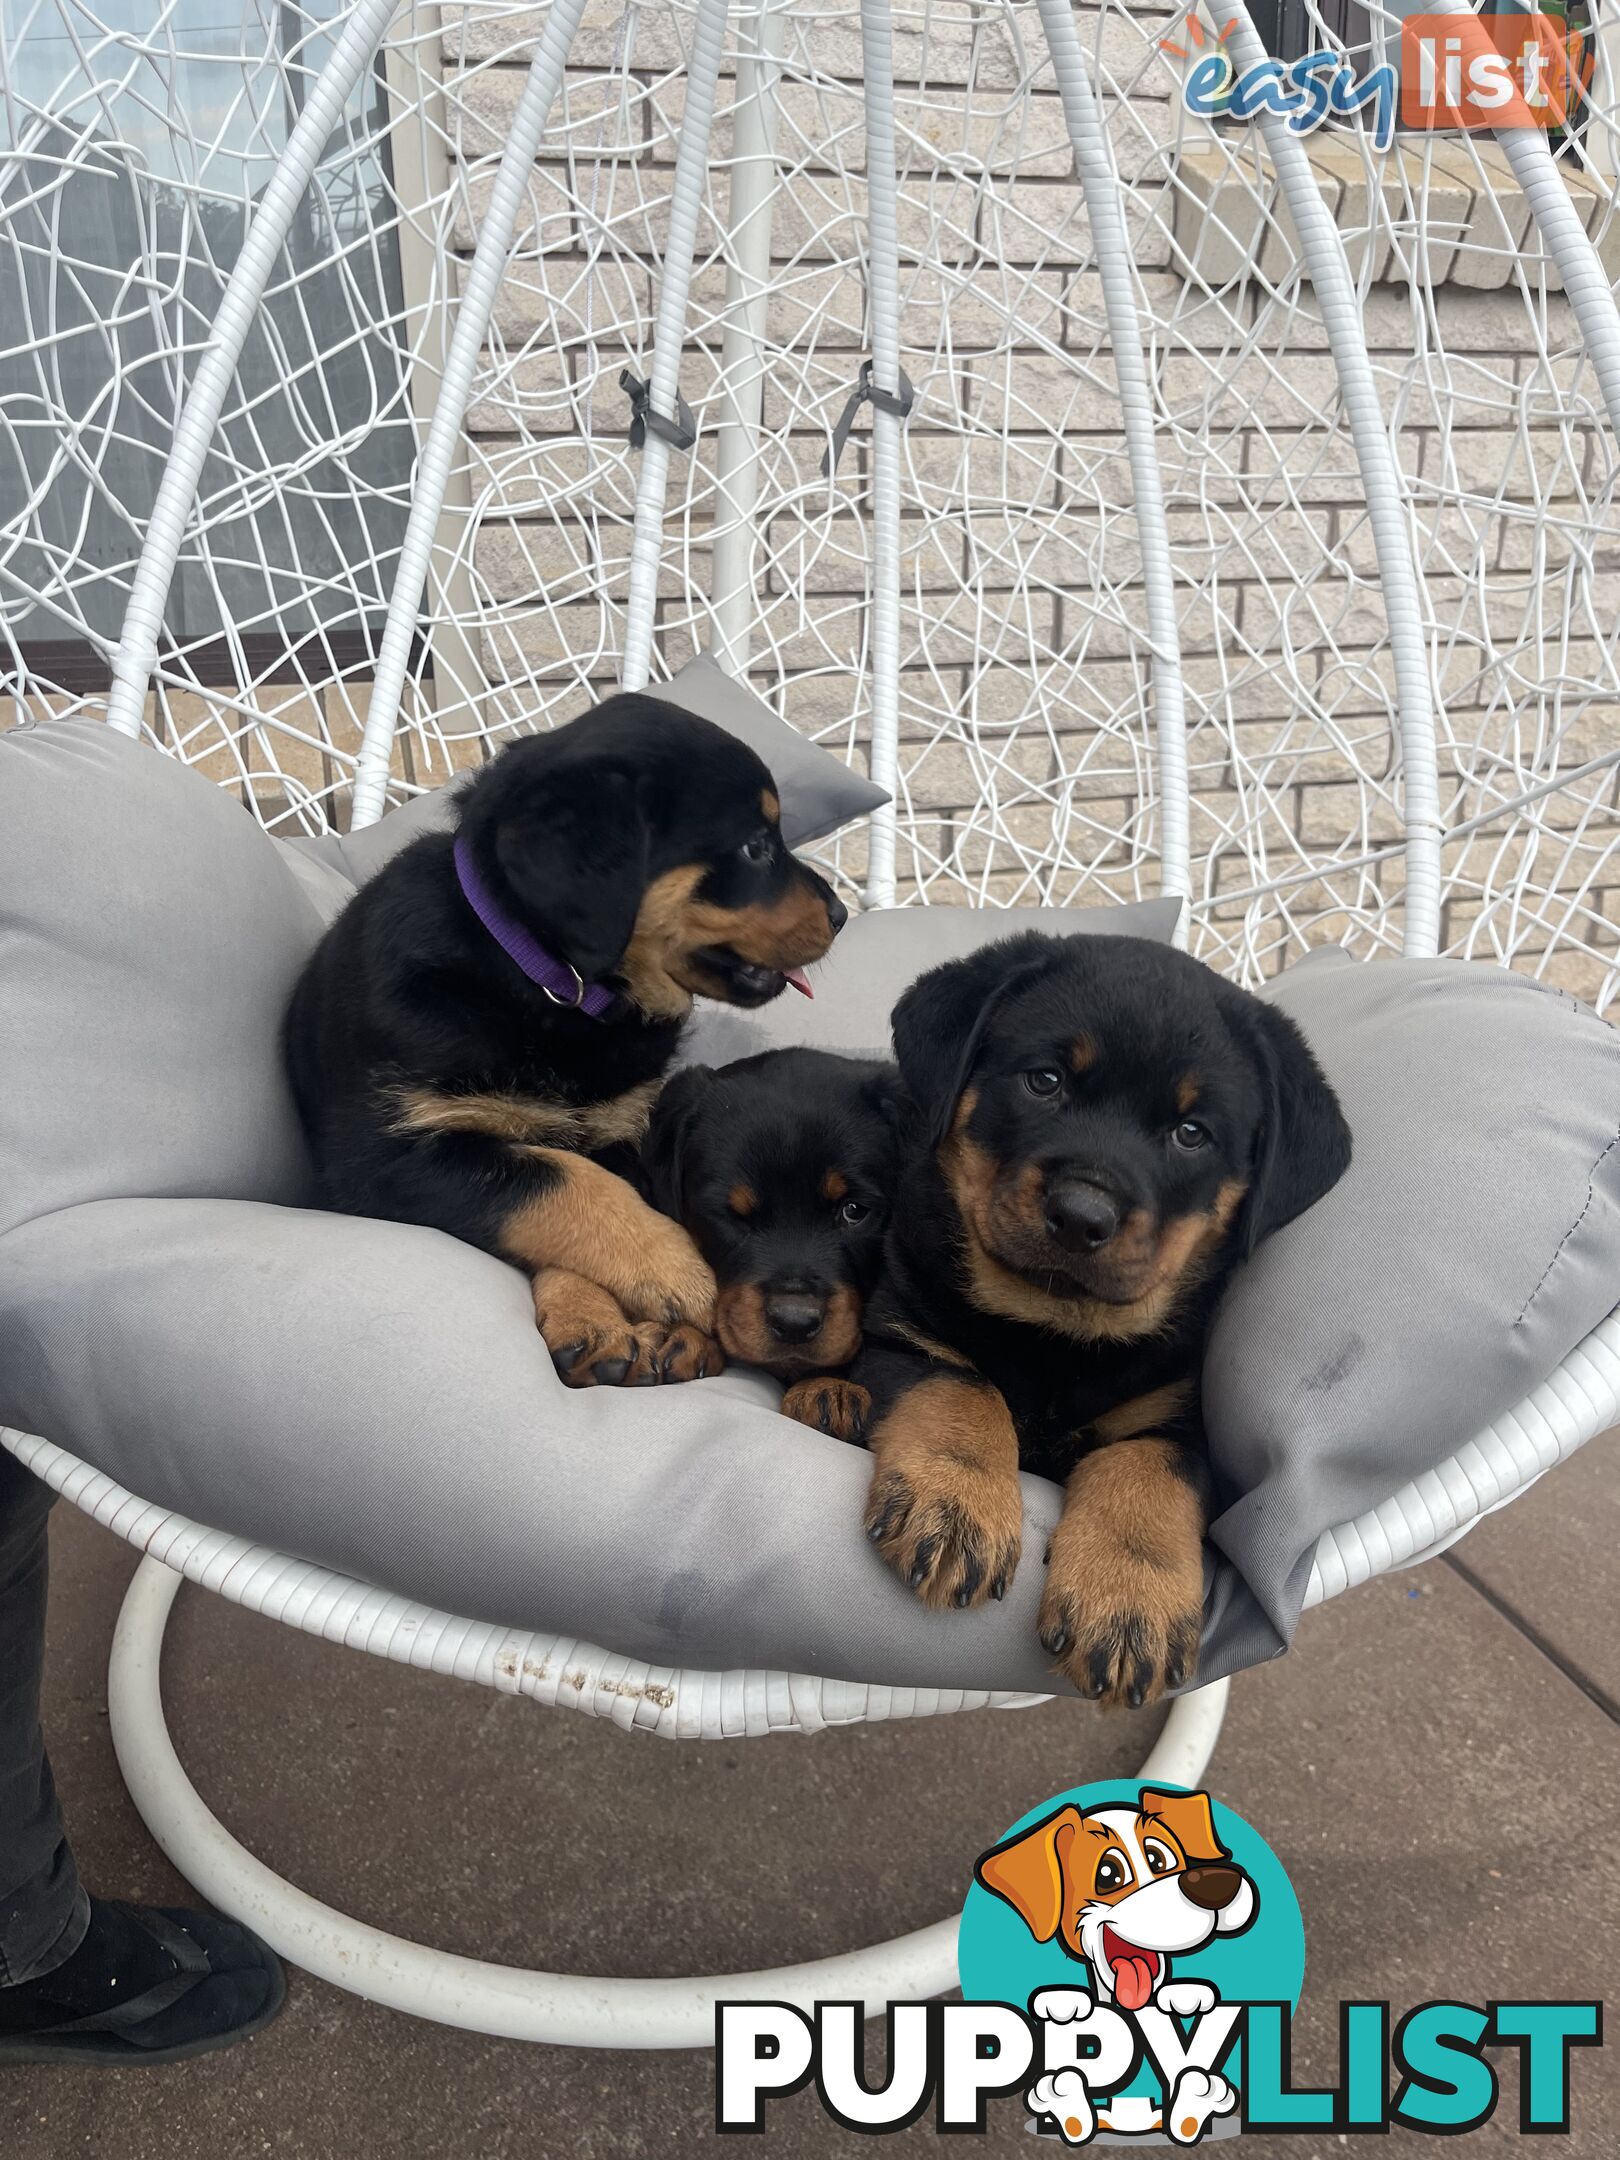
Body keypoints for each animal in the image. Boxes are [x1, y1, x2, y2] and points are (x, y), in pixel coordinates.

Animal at [285, 699, 851, 1391]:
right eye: (756, 846)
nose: (841, 915)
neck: (543, 982)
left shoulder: (620, 1130)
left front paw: (621, 1321)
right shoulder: (386, 1156)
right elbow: (563, 1181)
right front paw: (679, 1276)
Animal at [838, 937, 1356, 1710]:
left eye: (1191, 1133)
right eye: (1044, 1080)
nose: (1082, 1215)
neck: (1057, 1332)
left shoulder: (1178, 1417)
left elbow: (1143, 1472)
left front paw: (1128, 1602)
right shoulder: (899, 1333)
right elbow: (964, 1387)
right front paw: (954, 1505)